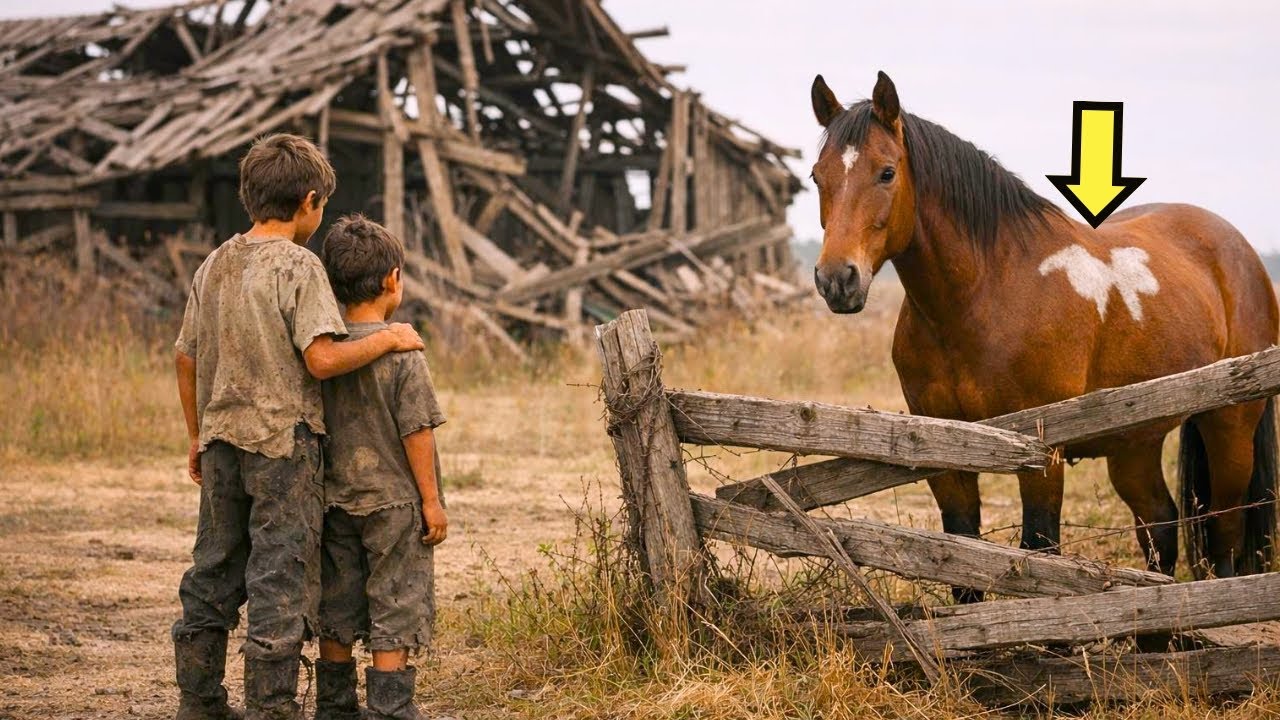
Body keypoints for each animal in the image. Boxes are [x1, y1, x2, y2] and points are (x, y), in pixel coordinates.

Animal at [808, 71, 1279, 593]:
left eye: (887, 172)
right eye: (817, 176)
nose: (837, 279)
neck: (984, 294)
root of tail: (1240, 251)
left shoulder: (1040, 454)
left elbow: (1039, 549)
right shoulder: (944, 454)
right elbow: (959, 557)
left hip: (1230, 425)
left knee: (1225, 530)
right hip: (1135, 443)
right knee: (1159, 524)